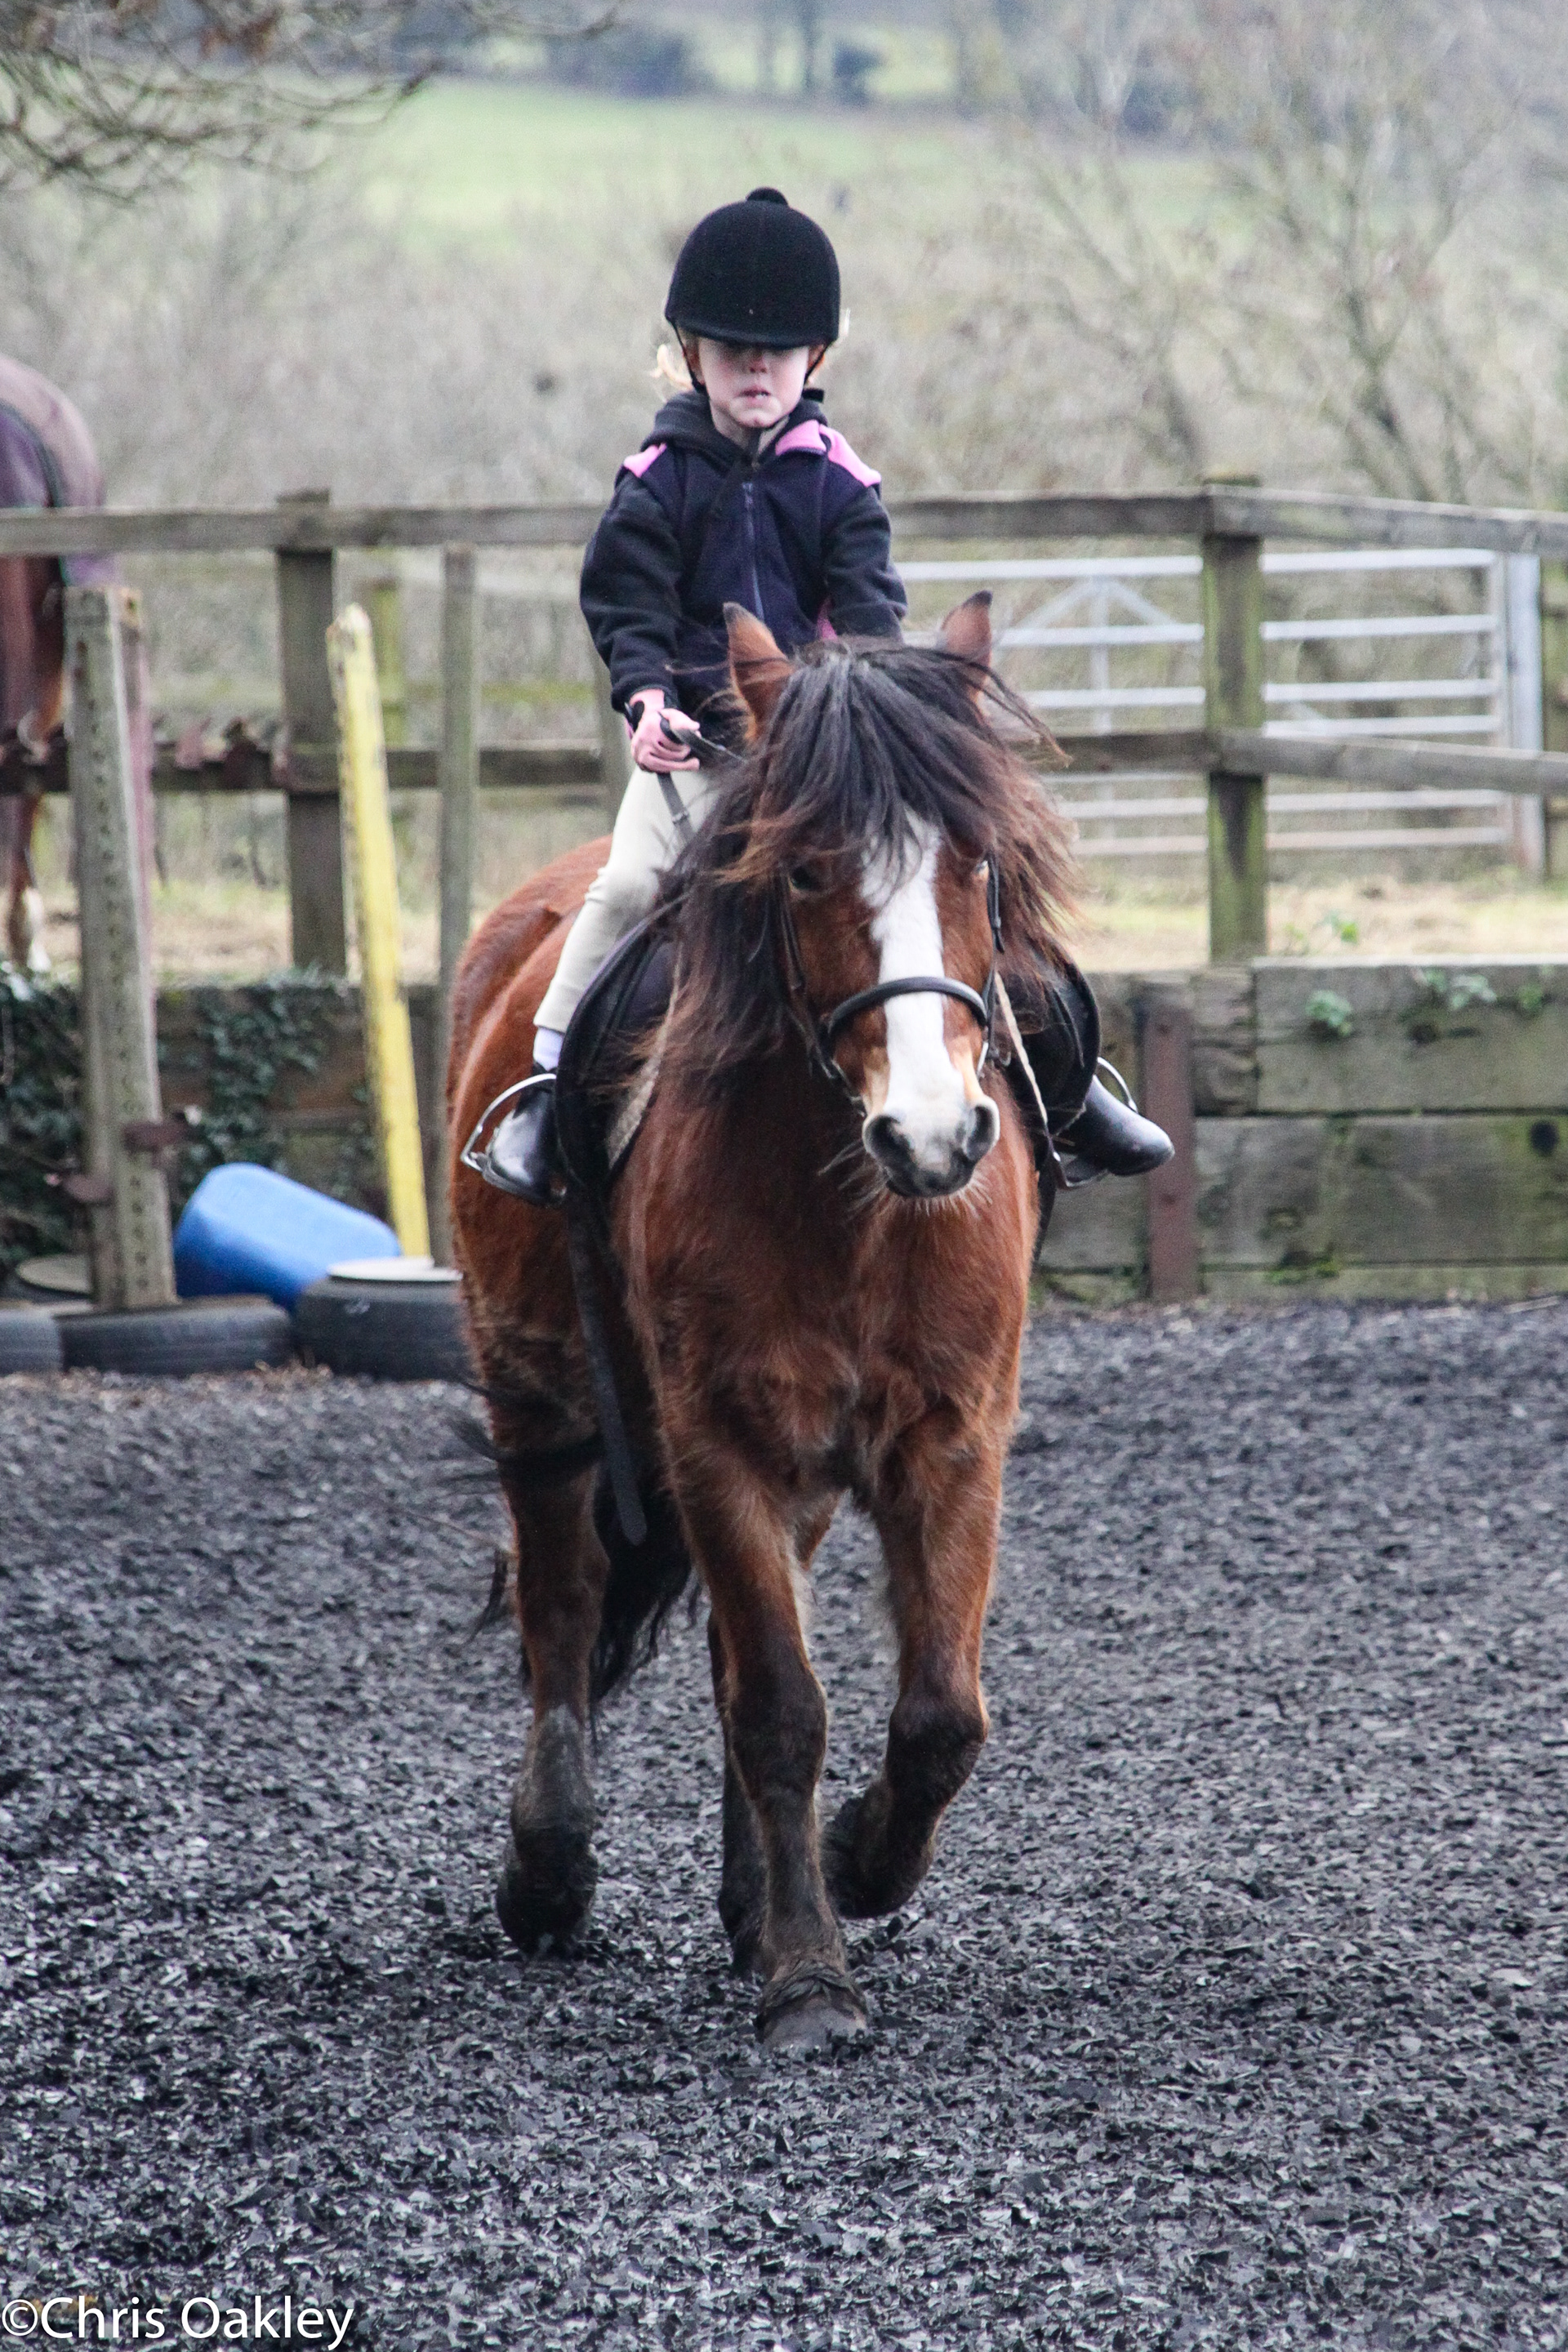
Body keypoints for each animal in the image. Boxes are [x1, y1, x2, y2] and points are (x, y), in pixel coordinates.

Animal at [446, 597, 1071, 2051]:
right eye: (806, 875)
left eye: (978, 866)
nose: (936, 1136)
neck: (855, 1201)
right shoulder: (715, 1437)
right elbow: (781, 1704)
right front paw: (809, 1976)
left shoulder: (953, 1438)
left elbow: (940, 1717)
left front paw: (847, 1870)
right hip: (540, 1399)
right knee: (563, 1605)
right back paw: (549, 1871)